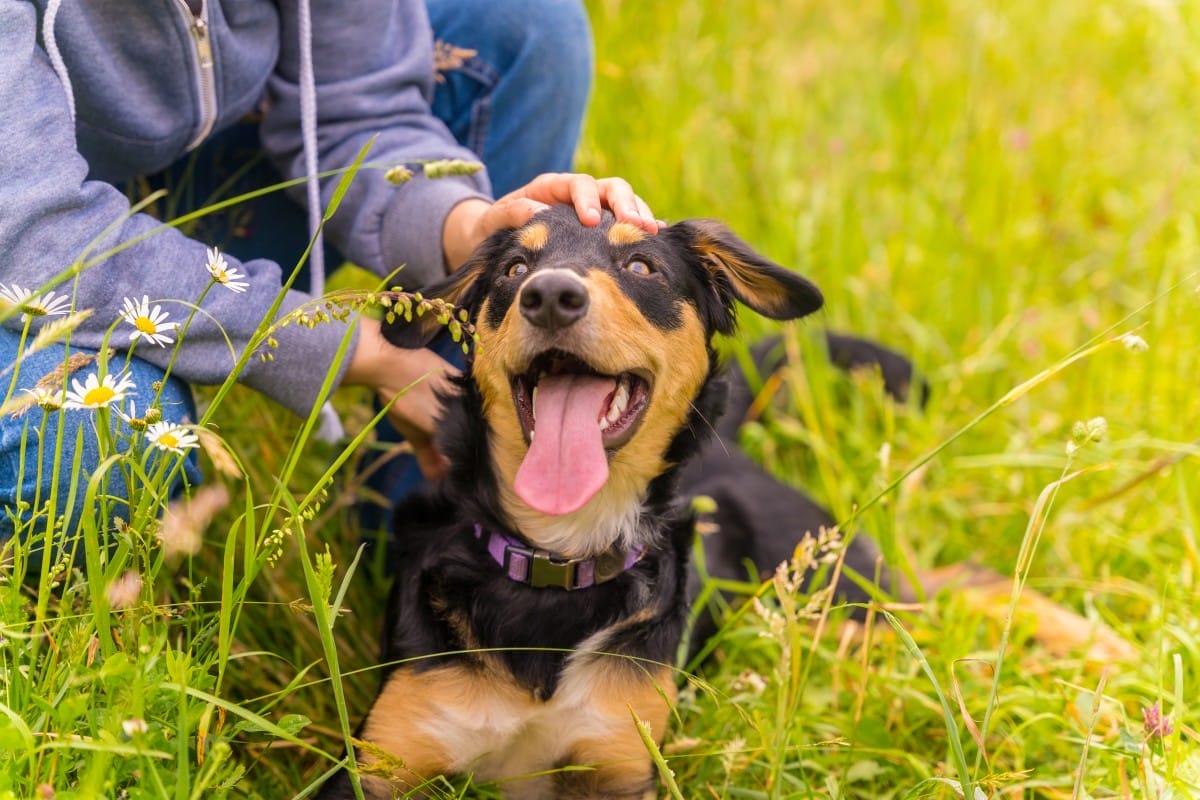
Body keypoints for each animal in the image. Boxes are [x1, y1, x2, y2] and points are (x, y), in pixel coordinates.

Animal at [314, 208, 902, 800]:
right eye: (514, 269)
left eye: (641, 266)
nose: (550, 295)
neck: (559, 557)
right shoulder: (384, 757)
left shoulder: (620, 755)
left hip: (844, 601)